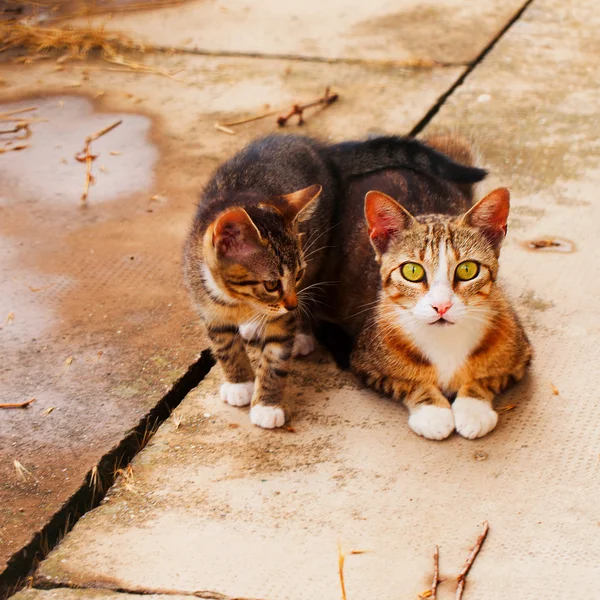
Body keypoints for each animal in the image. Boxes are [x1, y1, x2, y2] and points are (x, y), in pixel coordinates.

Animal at [184, 134, 488, 428]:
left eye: (297, 275)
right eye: (271, 284)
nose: (291, 305)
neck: (240, 301)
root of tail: (320, 150)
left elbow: (275, 355)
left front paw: (266, 406)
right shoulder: (207, 305)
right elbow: (225, 347)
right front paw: (240, 383)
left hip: (320, 242)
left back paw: (302, 334)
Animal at [322, 134, 532, 438]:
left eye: (467, 270)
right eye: (412, 271)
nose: (441, 305)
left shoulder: (520, 355)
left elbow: (488, 376)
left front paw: (473, 407)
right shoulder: (365, 361)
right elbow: (407, 381)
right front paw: (432, 410)